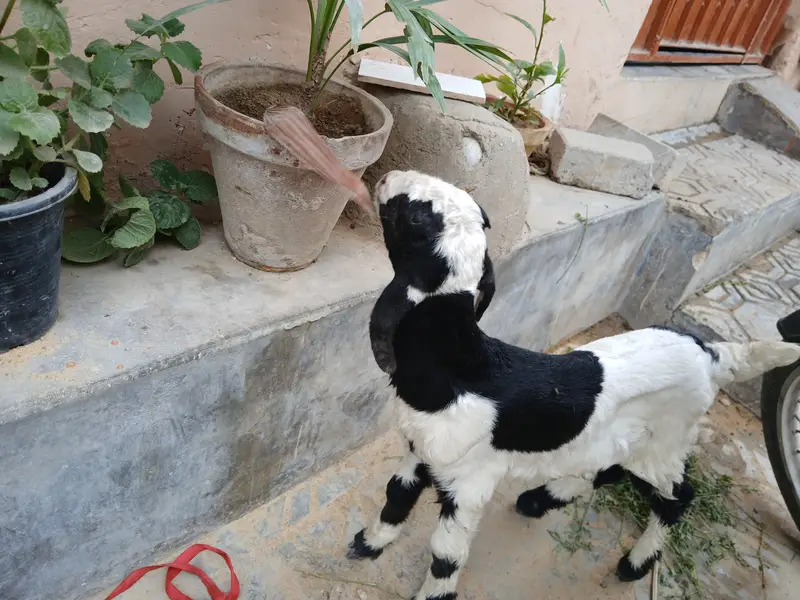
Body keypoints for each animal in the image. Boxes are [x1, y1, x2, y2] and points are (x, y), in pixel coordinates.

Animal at [347, 170, 800, 600]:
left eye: (414, 218)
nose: (384, 178)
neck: (464, 368)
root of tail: (710, 355)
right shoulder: (421, 450)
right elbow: (397, 493)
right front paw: (371, 542)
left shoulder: (469, 482)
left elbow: (446, 552)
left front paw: (432, 592)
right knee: (607, 468)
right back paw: (542, 498)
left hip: (665, 442)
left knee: (677, 496)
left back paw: (635, 563)